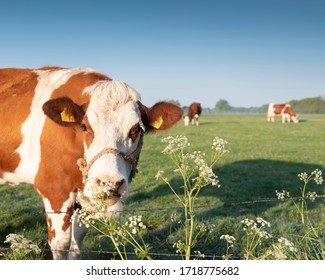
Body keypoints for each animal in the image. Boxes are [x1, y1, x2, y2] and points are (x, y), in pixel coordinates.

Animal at [0, 66, 182, 260]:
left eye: (136, 130)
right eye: (85, 126)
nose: (109, 184)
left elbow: (77, 241)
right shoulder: (53, 188)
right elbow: (61, 244)